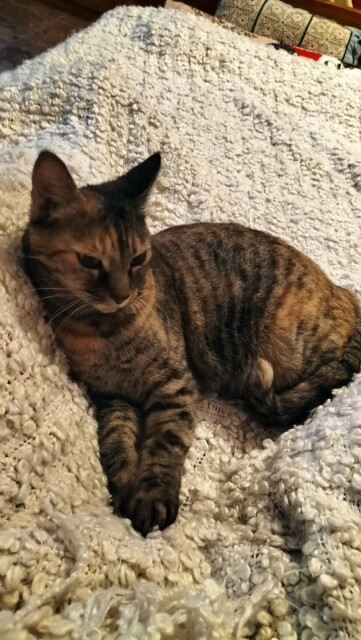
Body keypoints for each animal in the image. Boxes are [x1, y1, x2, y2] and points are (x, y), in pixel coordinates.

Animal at [22, 150, 360, 536]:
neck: (100, 330)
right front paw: (125, 483)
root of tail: (346, 294)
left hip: (287, 339)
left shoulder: (175, 385)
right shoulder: (112, 396)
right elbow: (115, 440)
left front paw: (152, 496)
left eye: (138, 259)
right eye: (89, 261)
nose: (123, 295)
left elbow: (165, 442)